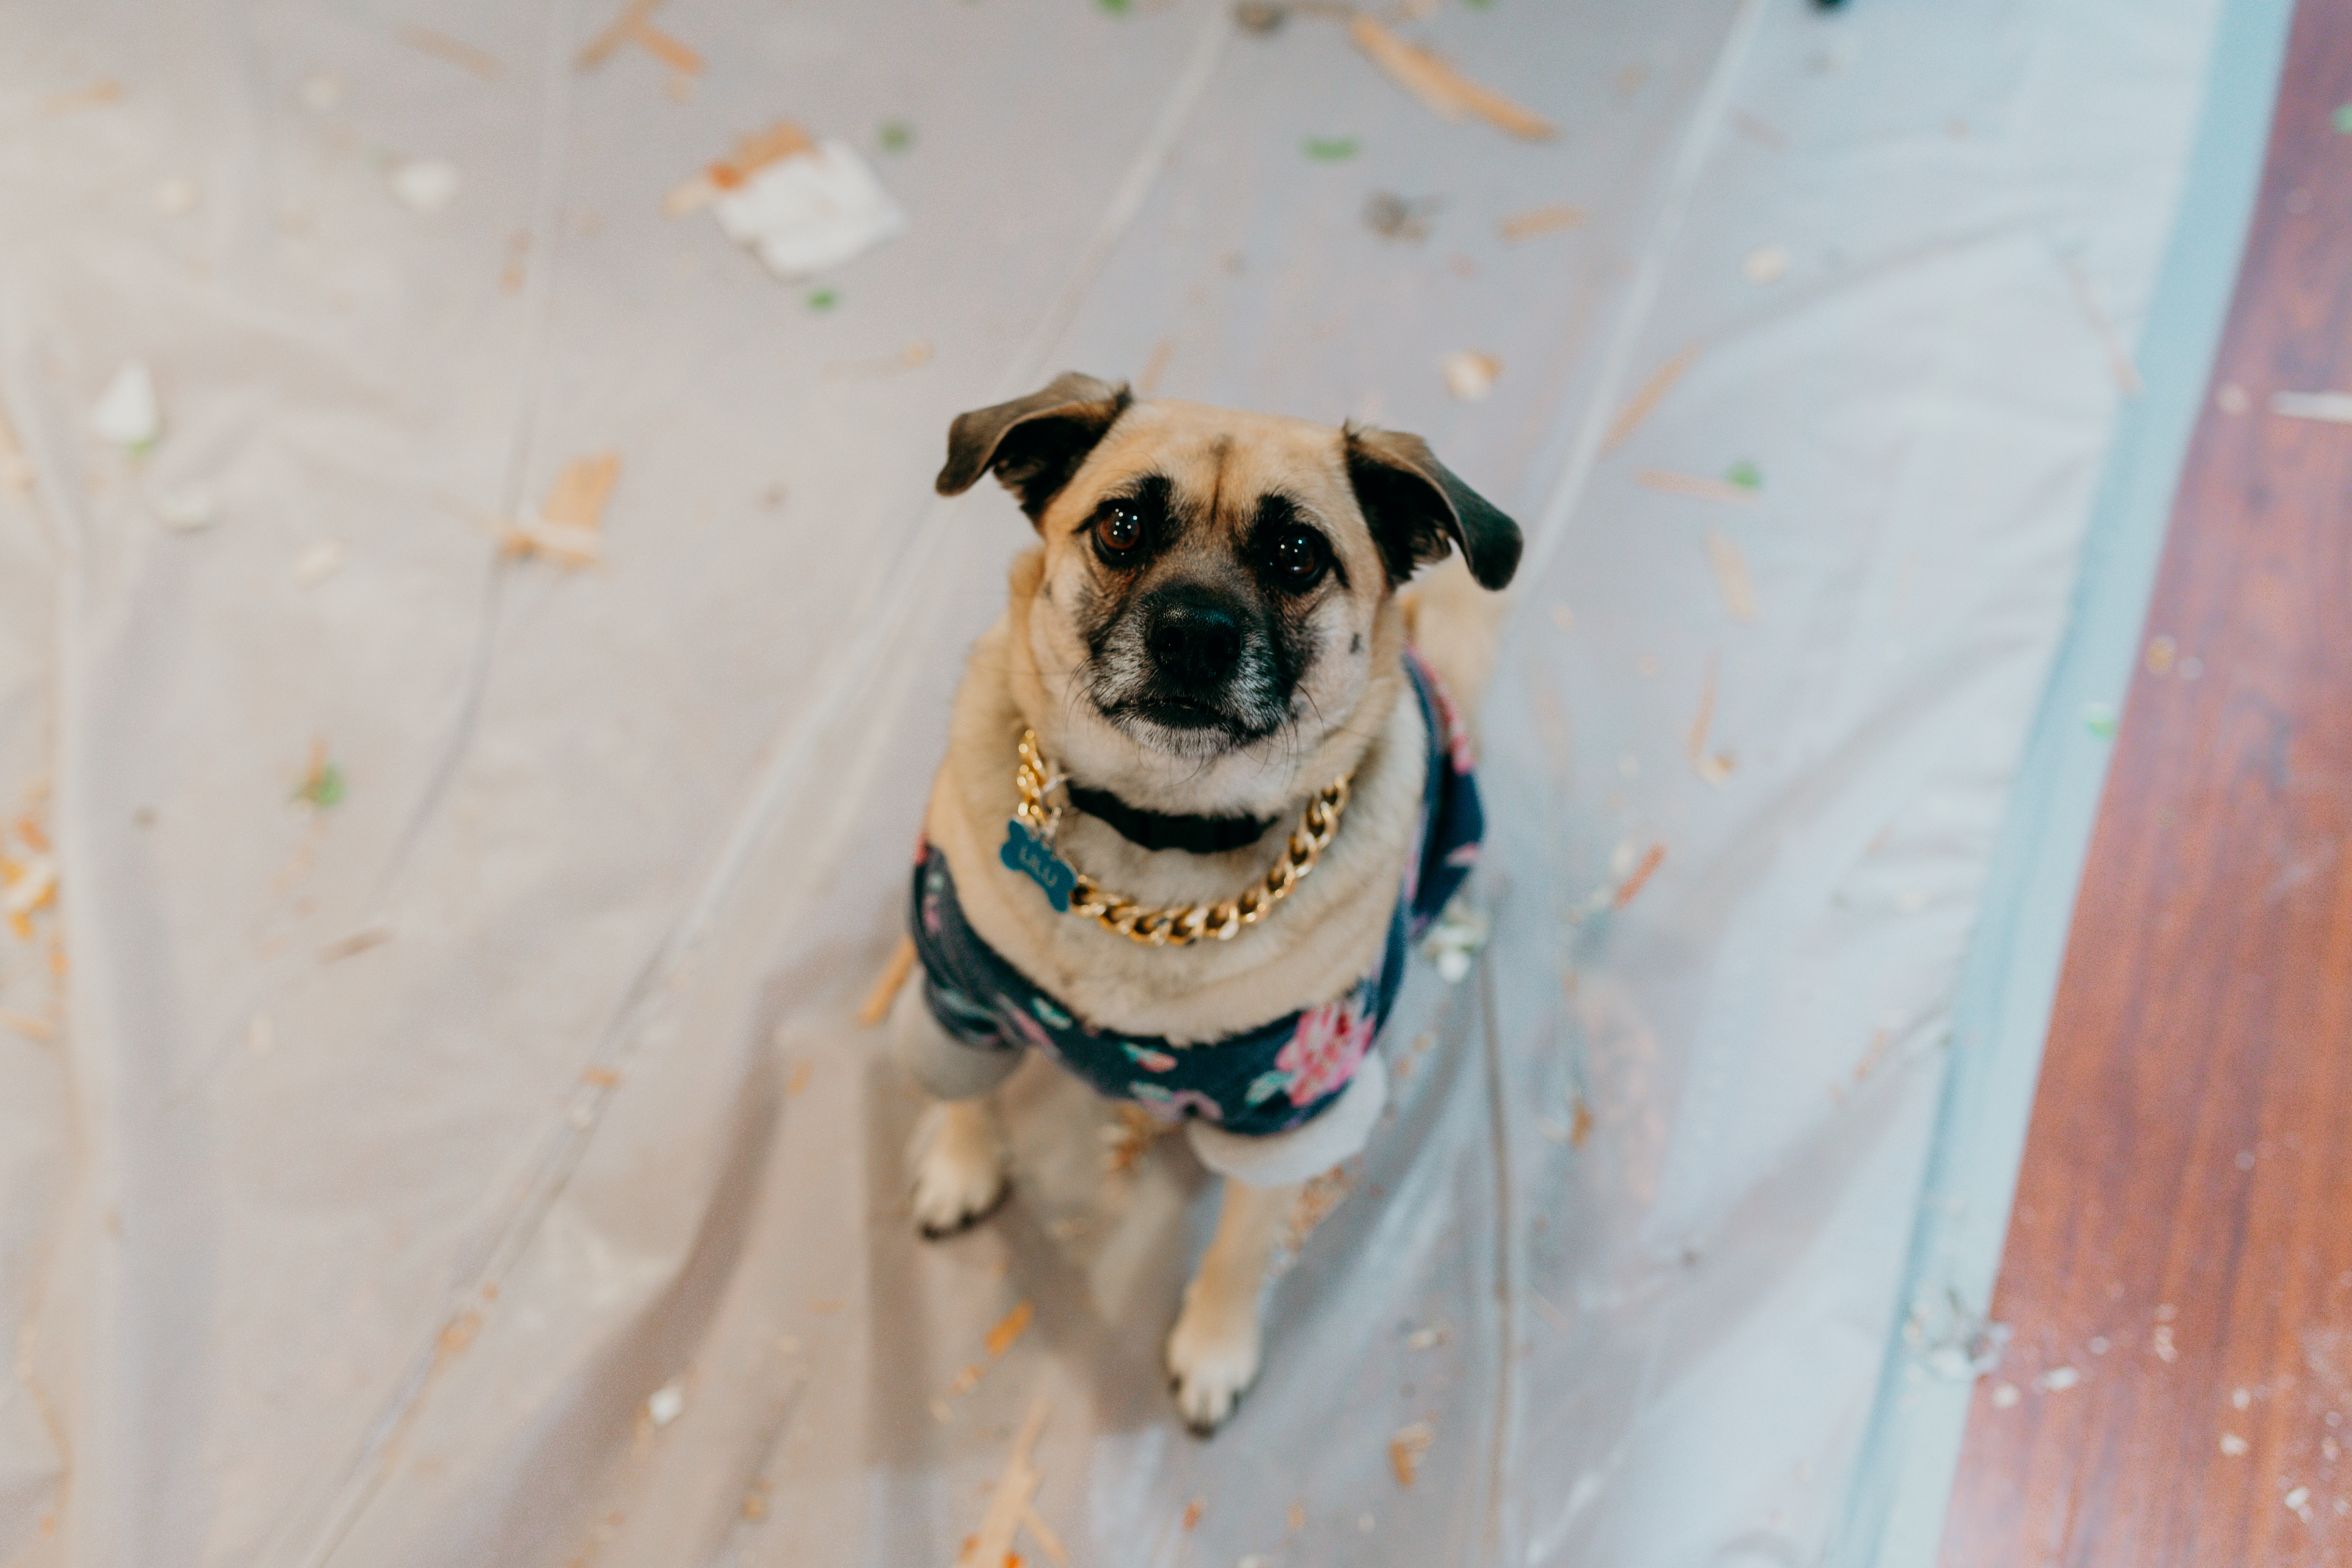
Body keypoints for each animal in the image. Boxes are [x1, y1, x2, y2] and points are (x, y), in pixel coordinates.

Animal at [884, 374, 1524, 1429]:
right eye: (1122, 527)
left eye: (1298, 554)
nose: (1193, 631)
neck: (1160, 835)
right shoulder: (961, 994)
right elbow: (968, 1094)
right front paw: (960, 1167)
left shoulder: (1290, 1112)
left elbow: (1240, 1244)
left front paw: (1214, 1346)